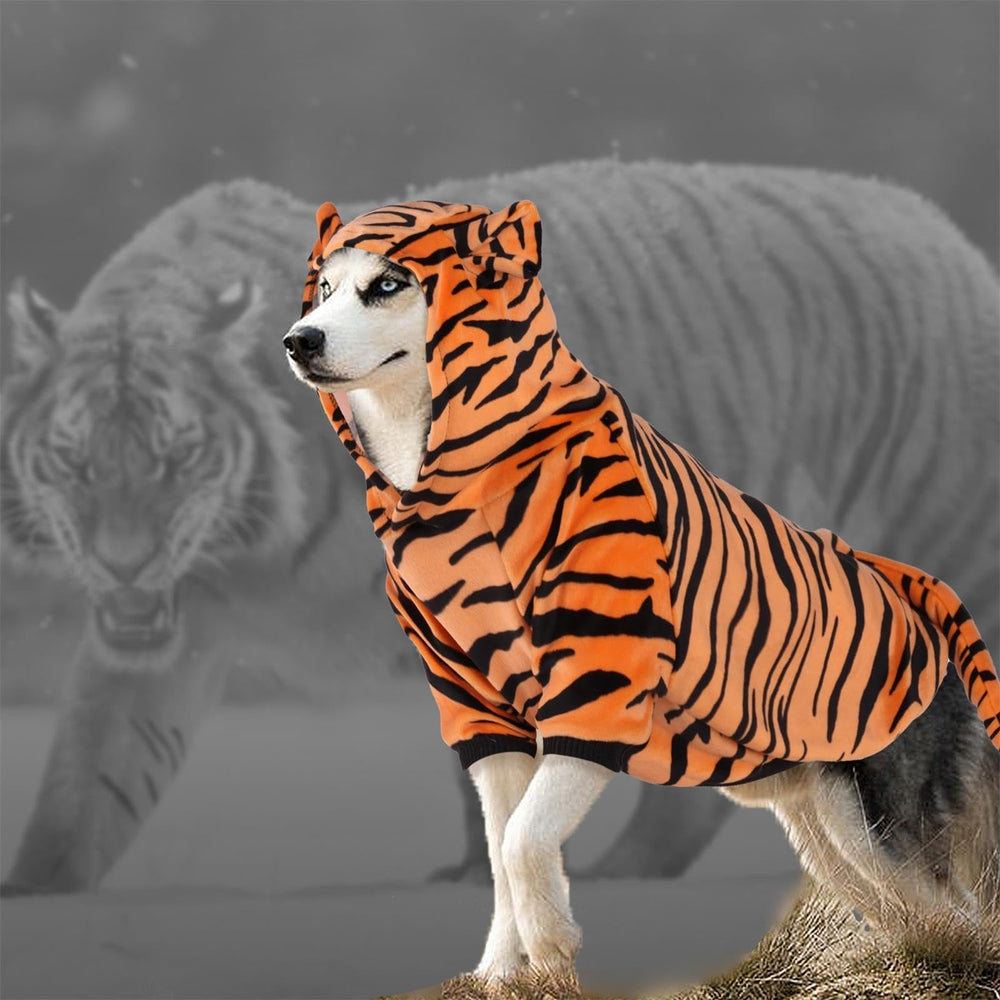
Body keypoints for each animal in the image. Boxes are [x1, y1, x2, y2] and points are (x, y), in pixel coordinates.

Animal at [2, 160, 997, 899]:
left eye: (177, 460)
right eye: (75, 464)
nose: (123, 567)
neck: (250, 558)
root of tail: (952, 240)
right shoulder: (172, 627)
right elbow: (95, 761)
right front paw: (37, 886)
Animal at [285, 195, 1000, 984]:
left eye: (387, 285)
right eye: (323, 289)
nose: (297, 341)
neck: (459, 491)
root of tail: (929, 606)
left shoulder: (596, 692)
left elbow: (522, 843)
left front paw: (554, 950)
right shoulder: (479, 707)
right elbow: (501, 857)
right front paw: (503, 973)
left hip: (873, 827)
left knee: (964, 921)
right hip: (824, 834)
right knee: (924, 921)